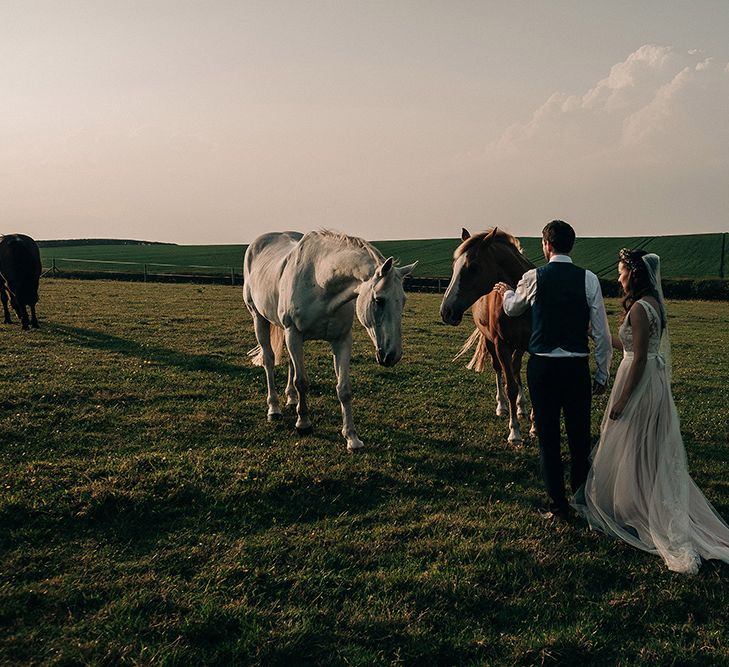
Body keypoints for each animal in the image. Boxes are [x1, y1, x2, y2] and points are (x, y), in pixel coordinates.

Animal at [243, 231, 416, 454]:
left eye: (402, 301)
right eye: (379, 300)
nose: (392, 355)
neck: (320, 282)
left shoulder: (341, 340)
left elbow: (344, 389)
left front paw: (352, 438)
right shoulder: (294, 333)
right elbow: (302, 381)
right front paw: (304, 424)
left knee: (290, 363)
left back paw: (291, 399)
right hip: (260, 319)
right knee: (269, 361)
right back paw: (274, 408)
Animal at [438, 228, 536, 444]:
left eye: (473, 267)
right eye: (454, 267)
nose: (446, 311)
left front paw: (534, 426)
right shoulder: (501, 345)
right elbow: (509, 386)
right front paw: (514, 432)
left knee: (515, 369)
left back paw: (521, 407)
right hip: (493, 343)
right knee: (499, 370)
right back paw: (502, 407)